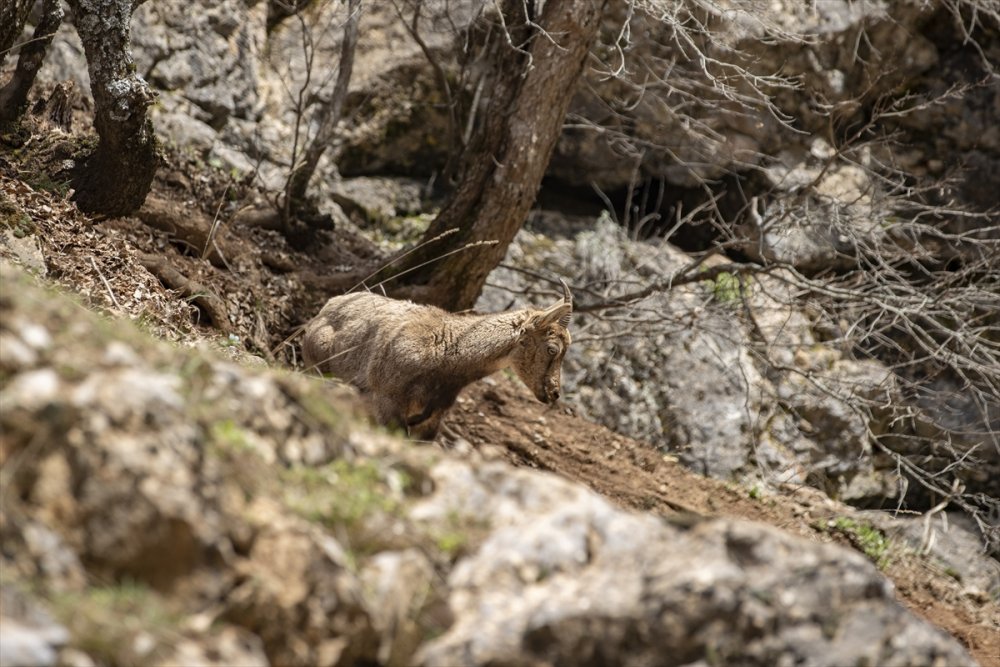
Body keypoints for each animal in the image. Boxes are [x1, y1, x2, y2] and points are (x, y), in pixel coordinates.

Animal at [300, 280, 576, 438]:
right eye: (552, 349)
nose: (554, 393)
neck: (447, 355)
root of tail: (327, 306)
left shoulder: (433, 417)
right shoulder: (387, 400)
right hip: (317, 368)